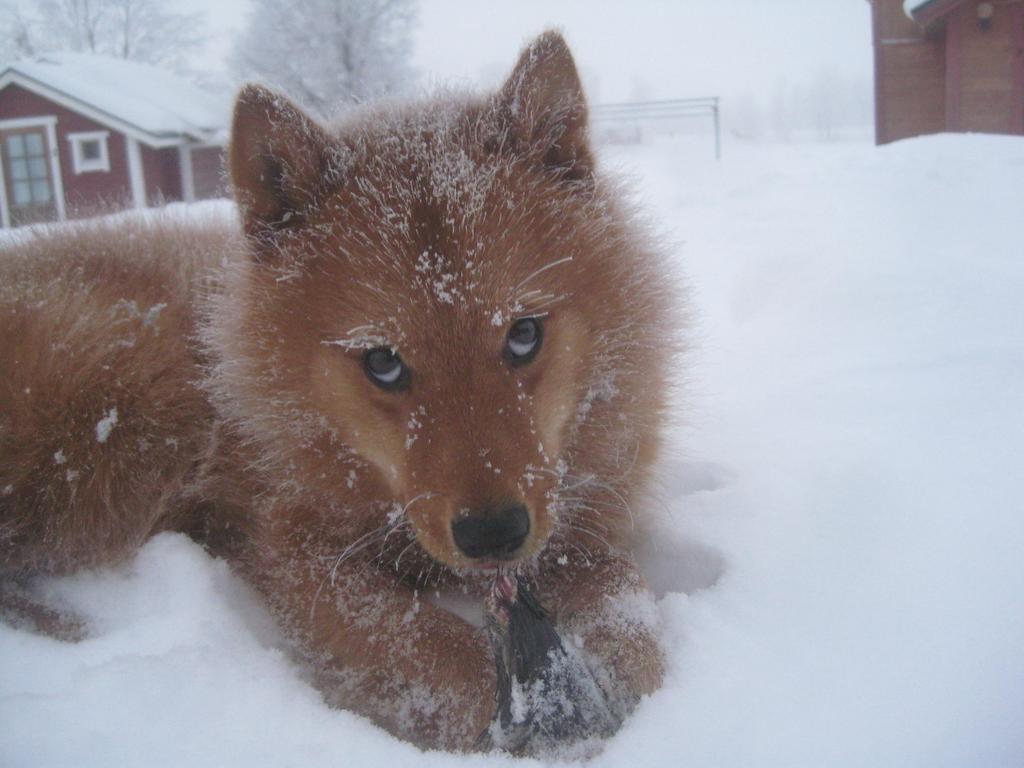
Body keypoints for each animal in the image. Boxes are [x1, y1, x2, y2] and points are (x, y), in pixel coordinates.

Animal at [2, 33, 679, 753]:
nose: (494, 534)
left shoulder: (577, 524)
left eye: (524, 335)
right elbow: (431, 647)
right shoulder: (292, 550)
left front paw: (625, 673)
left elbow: (619, 587)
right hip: (122, 392)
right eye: (382, 362)